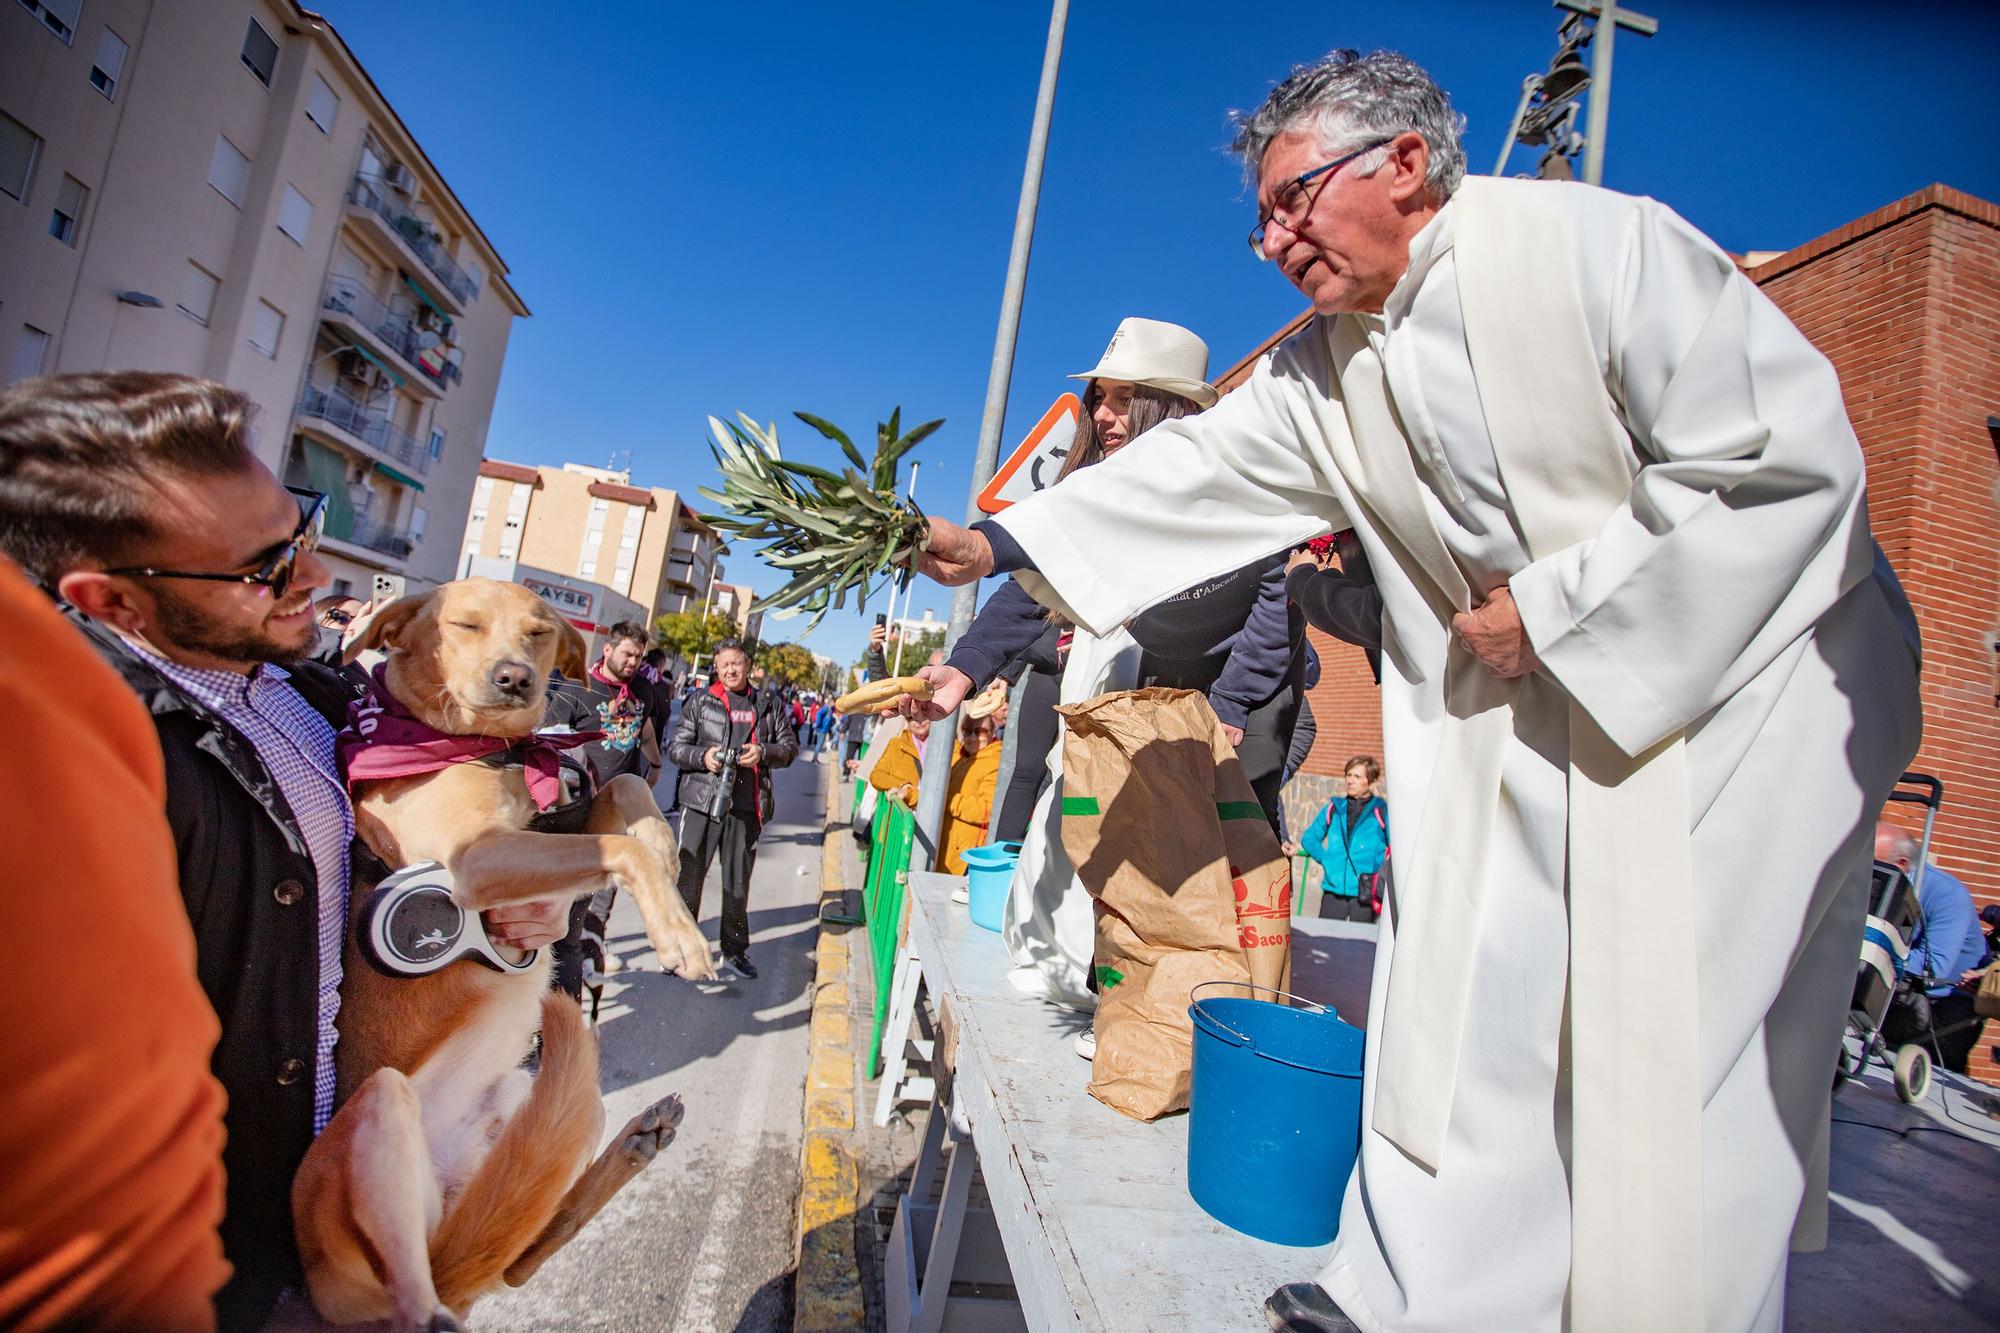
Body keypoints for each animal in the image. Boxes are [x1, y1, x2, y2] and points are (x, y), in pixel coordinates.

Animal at [290, 576, 712, 1320]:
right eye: (464, 624)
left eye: (539, 632)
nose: (515, 678)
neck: (479, 745)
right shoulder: (477, 860)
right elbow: (621, 843)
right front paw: (679, 933)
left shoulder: (551, 825)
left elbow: (627, 790)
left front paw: (669, 869)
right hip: (381, 1106)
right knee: (418, 1290)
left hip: (555, 1105)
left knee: (514, 1264)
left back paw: (637, 1144)